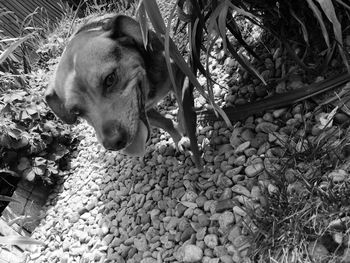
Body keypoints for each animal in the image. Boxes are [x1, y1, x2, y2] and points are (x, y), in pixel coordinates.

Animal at [47, 14, 189, 157]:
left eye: (110, 79)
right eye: (76, 111)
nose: (113, 144)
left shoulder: (178, 74)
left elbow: (184, 105)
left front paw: (185, 130)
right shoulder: (142, 111)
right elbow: (166, 123)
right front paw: (178, 139)